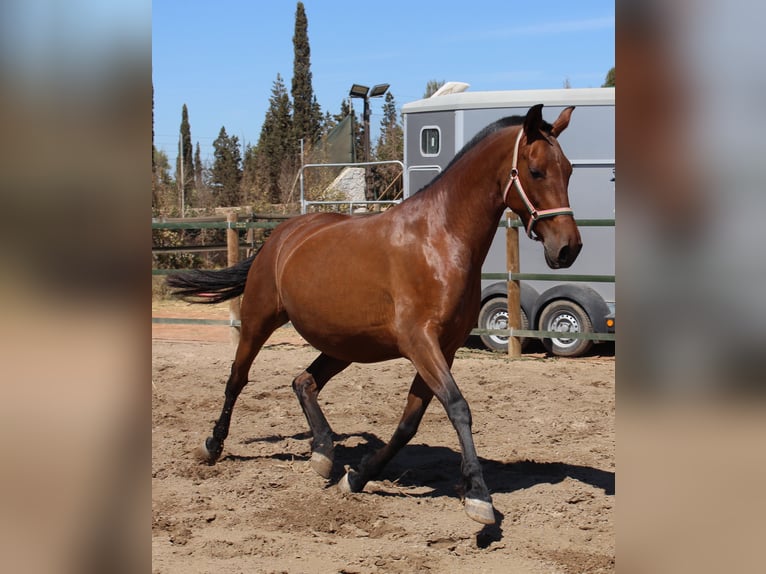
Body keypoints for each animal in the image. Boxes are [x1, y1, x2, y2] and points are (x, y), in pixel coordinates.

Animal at [165, 103, 580, 528]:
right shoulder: (420, 342)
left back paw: (323, 453)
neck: (440, 239)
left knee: (303, 382)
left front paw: (358, 477)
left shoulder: (443, 349)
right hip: (258, 320)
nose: (568, 248)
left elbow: (410, 421)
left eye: (568, 170)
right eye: (536, 171)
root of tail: (280, 235)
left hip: (343, 344)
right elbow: (458, 407)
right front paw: (479, 497)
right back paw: (212, 446)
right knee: (237, 379)